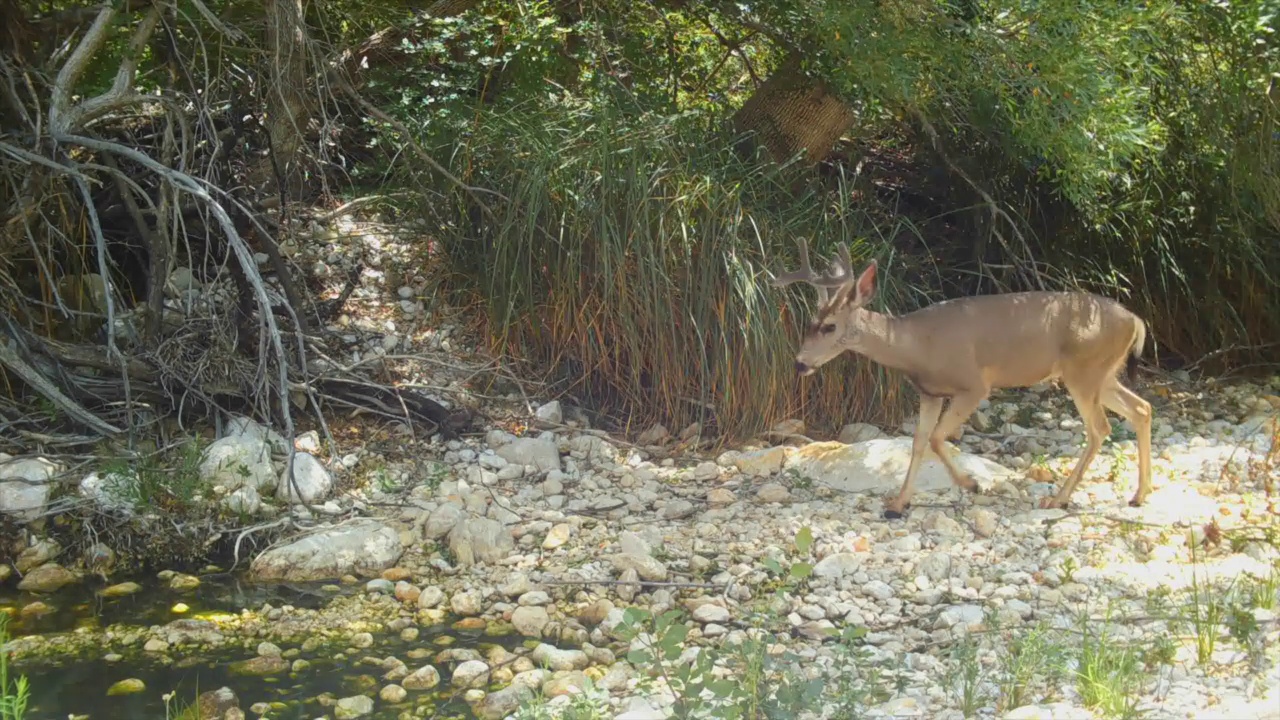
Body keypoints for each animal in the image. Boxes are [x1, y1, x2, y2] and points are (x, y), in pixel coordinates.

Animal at [773, 238, 1157, 517]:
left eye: (829, 326)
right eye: (809, 322)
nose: (800, 364)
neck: (916, 346)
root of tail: (1136, 321)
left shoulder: (974, 385)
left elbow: (936, 439)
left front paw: (972, 485)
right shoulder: (929, 392)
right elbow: (918, 442)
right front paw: (898, 504)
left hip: (1084, 370)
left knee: (1100, 428)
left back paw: (1059, 498)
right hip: (1103, 374)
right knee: (1141, 408)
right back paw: (1139, 495)